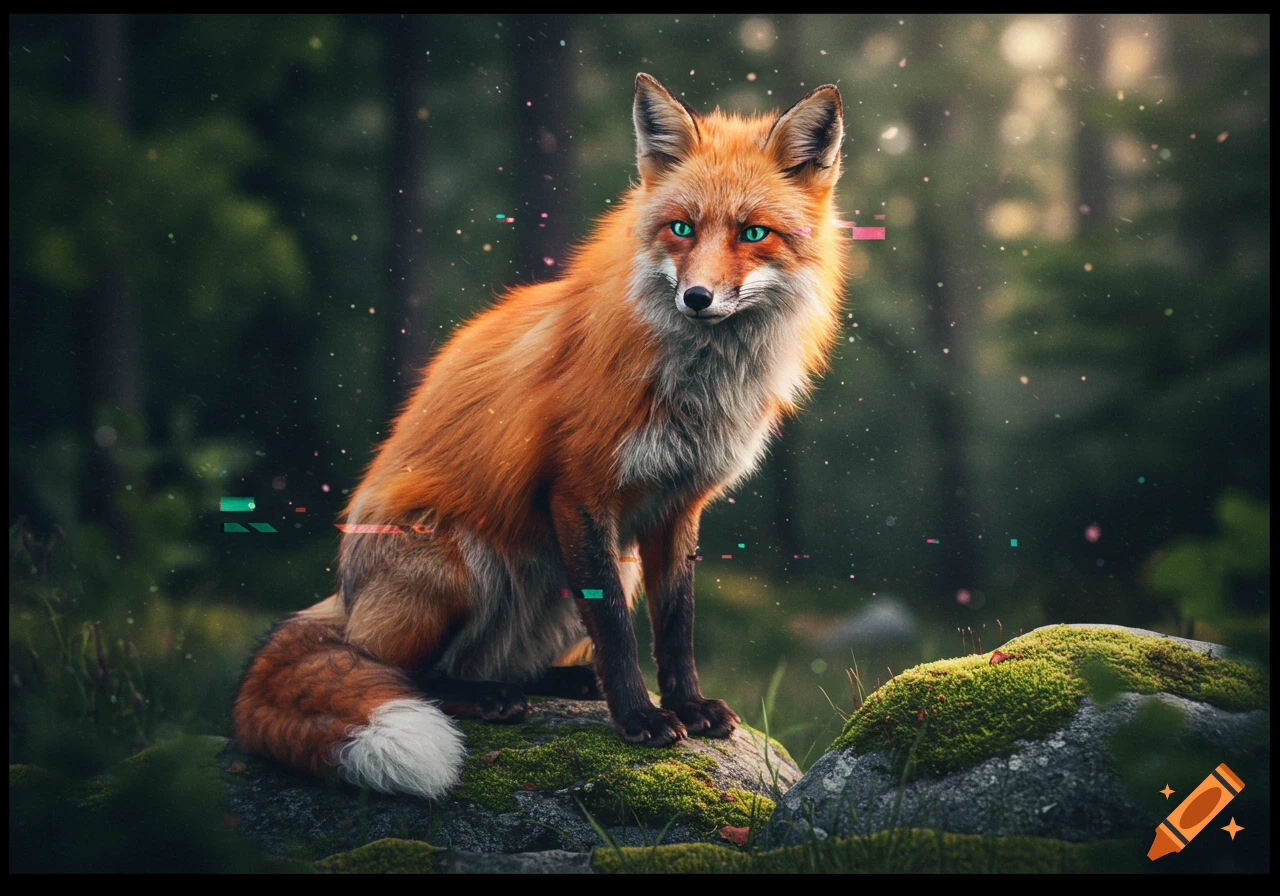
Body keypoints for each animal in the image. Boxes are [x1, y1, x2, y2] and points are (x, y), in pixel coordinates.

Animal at [232, 73, 848, 800]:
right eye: (681, 228)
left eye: (754, 233)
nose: (696, 298)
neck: (697, 387)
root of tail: (342, 602)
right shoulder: (579, 490)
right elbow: (615, 630)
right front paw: (639, 718)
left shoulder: (678, 505)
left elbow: (676, 626)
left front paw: (687, 706)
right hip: (454, 565)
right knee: (404, 672)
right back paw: (489, 697)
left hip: (601, 570)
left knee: (502, 663)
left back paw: (563, 681)